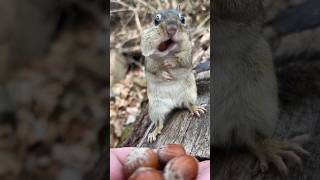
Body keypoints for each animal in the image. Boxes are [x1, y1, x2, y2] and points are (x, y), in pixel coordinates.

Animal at [139, 8, 206, 143]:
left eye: (183, 19)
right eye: (156, 20)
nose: (171, 29)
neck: (167, 54)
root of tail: (174, 103)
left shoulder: (187, 53)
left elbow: (182, 61)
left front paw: (171, 62)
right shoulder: (149, 61)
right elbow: (154, 71)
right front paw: (164, 74)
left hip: (190, 94)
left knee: (188, 105)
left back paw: (195, 108)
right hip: (156, 108)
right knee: (159, 122)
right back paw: (154, 132)